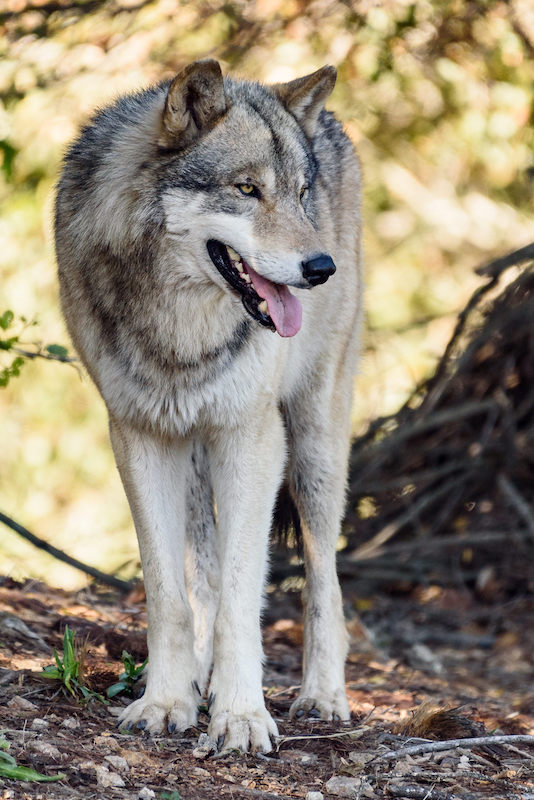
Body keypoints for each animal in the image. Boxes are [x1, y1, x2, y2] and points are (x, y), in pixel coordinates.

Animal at [55, 59, 364, 752]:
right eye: (247, 189)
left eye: (300, 193)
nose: (321, 266)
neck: (181, 329)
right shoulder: (139, 434)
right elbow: (172, 592)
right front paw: (167, 701)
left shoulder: (253, 438)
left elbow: (242, 598)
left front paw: (242, 716)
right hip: (195, 451)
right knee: (204, 565)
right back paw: (200, 677)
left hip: (313, 446)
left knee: (325, 582)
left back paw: (323, 696)